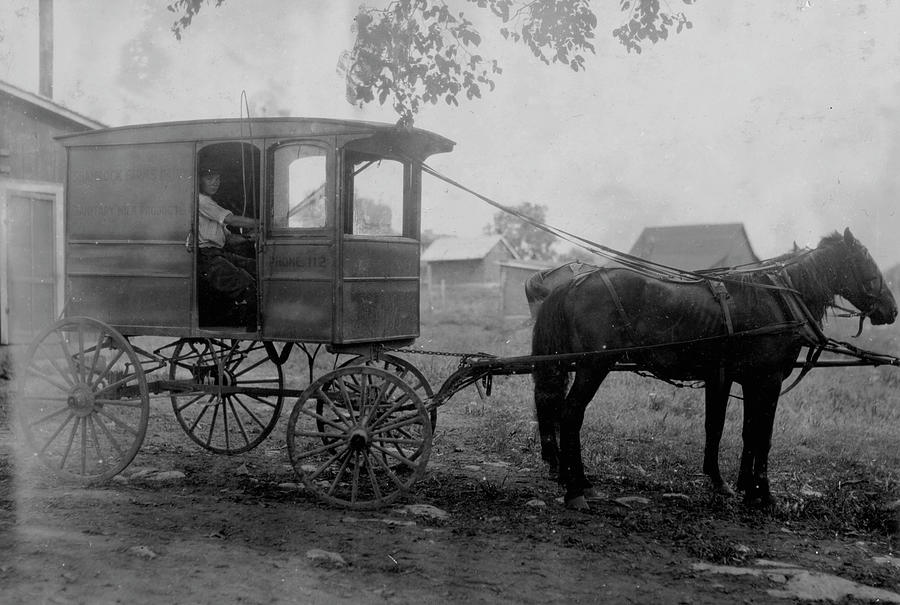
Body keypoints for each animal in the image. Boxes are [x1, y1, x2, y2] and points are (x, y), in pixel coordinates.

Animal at [532, 229, 896, 508]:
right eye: (867, 262)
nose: (891, 310)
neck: (778, 301)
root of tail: (574, 284)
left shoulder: (736, 379)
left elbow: (734, 430)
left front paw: (737, 486)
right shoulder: (767, 380)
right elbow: (762, 436)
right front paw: (764, 496)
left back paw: (575, 478)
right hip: (594, 365)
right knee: (571, 414)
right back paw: (575, 489)